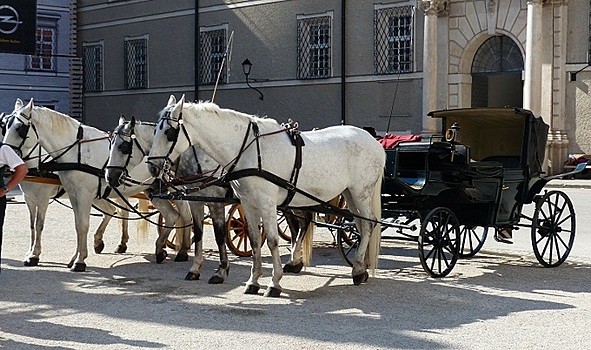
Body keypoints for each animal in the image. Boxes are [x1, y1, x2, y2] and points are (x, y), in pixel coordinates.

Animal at [2, 98, 150, 270]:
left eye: (20, 129)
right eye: (5, 126)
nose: (5, 158)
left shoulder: (52, 196)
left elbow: (45, 224)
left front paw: (38, 255)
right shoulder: (32, 197)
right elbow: (37, 225)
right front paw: (32, 253)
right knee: (114, 211)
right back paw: (108, 242)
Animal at [108, 116, 231, 284]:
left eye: (124, 147)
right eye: (111, 144)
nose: (109, 177)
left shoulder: (215, 202)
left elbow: (220, 235)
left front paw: (221, 271)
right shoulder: (195, 201)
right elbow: (198, 232)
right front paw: (194, 269)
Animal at [148, 94, 386, 296]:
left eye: (169, 133)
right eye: (155, 131)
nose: (152, 166)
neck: (248, 151)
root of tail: (373, 141)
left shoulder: (265, 203)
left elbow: (270, 240)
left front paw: (274, 282)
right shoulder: (247, 203)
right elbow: (253, 240)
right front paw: (253, 281)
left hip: (360, 193)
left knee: (368, 224)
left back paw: (357, 269)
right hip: (349, 195)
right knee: (356, 225)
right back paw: (360, 266)